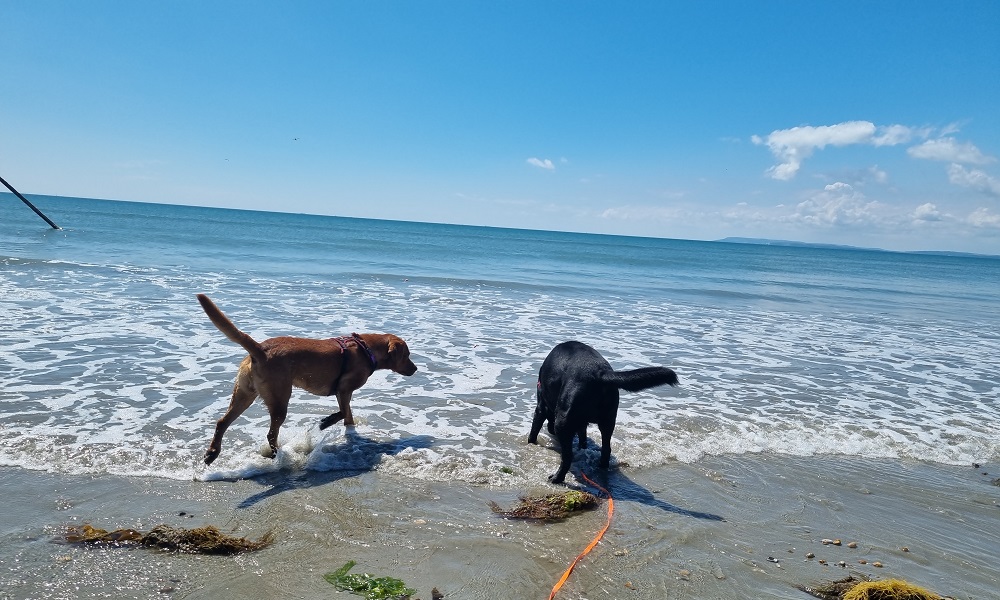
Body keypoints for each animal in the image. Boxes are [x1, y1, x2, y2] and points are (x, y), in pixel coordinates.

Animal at [197, 292, 416, 466]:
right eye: (406, 355)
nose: (415, 369)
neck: (366, 349)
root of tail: (259, 349)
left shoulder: (342, 392)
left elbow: (348, 416)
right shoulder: (343, 389)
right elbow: (343, 411)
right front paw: (325, 422)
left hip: (244, 394)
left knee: (222, 422)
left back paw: (212, 453)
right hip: (279, 399)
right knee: (271, 433)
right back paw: (278, 456)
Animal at [532, 342, 680, 482]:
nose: (550, 429)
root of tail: (600, 374)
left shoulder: (541, 408)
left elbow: (534, 431)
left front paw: (531, 443)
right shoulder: (581, 422)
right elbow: (583, 437)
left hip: (562, 421)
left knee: (568, 456)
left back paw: (557, 477)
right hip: (608, 420)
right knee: (606, 449)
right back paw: (601, 468)